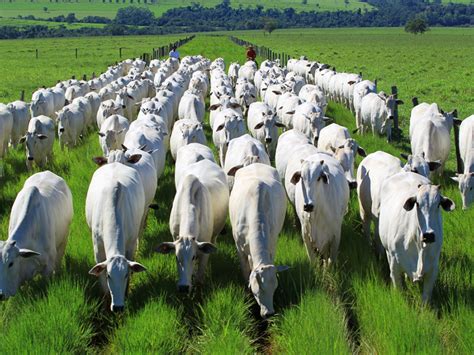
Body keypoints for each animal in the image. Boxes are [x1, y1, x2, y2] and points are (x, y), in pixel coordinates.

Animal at [86, 163, 147, 312]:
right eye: (109, 275)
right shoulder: (98, 249)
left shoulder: (131, 246)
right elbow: (102, 283)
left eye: (125, 275)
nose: (118, 307)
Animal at [156, 160, 229, 294]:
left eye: (193, 257)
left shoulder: (204, 249)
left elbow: (199, 279)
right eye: (176, 256)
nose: (183, 287)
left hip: (215, 235)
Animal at [227, 163, 286, 318]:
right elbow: (245, 272)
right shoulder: (239, 248)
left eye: (275, 288)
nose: (269, 313)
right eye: (257, 291)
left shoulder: (273, 243)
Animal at [380, 172, 454, 304]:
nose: (429, 235)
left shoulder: (433, 269)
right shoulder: (394, 266)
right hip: (388, 251)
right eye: (417, 204)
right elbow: (399, 290)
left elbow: (425, 298)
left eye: (438, 204)